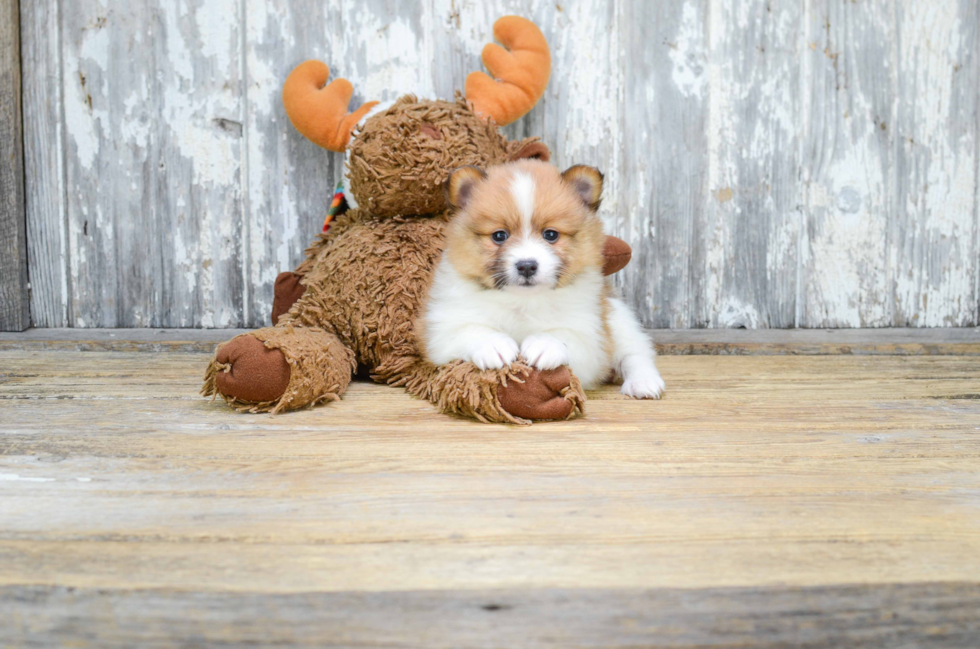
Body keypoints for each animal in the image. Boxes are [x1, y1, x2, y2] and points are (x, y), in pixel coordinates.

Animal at [422, 159, 668, 398]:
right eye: (499, 236)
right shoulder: (442, 331)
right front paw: (492, 344)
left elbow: (565, 335)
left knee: (636, 353)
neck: (523, 300)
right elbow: (471, 330)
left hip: (618, 319)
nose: (527, 266)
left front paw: (545, 344)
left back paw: (643, 382)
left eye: (551, 234)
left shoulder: (591, 340)